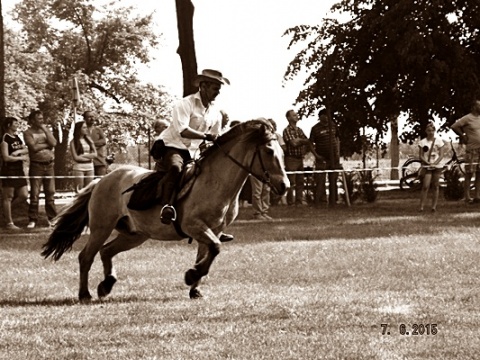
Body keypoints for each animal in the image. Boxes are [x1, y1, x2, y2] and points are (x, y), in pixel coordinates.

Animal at [41, 119, 288, 300]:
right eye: (268, 151)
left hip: (135, 234)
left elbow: (208, 253)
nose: (284, 186)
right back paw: (85, 294)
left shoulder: (213, 230)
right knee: (86, 256)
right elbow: (215, 249)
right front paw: (191, 275)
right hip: (101, 228)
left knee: (106, 251)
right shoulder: (194, 226)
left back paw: (106, 285)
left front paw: (195, 287)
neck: (215, 182)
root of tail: (101, 180)